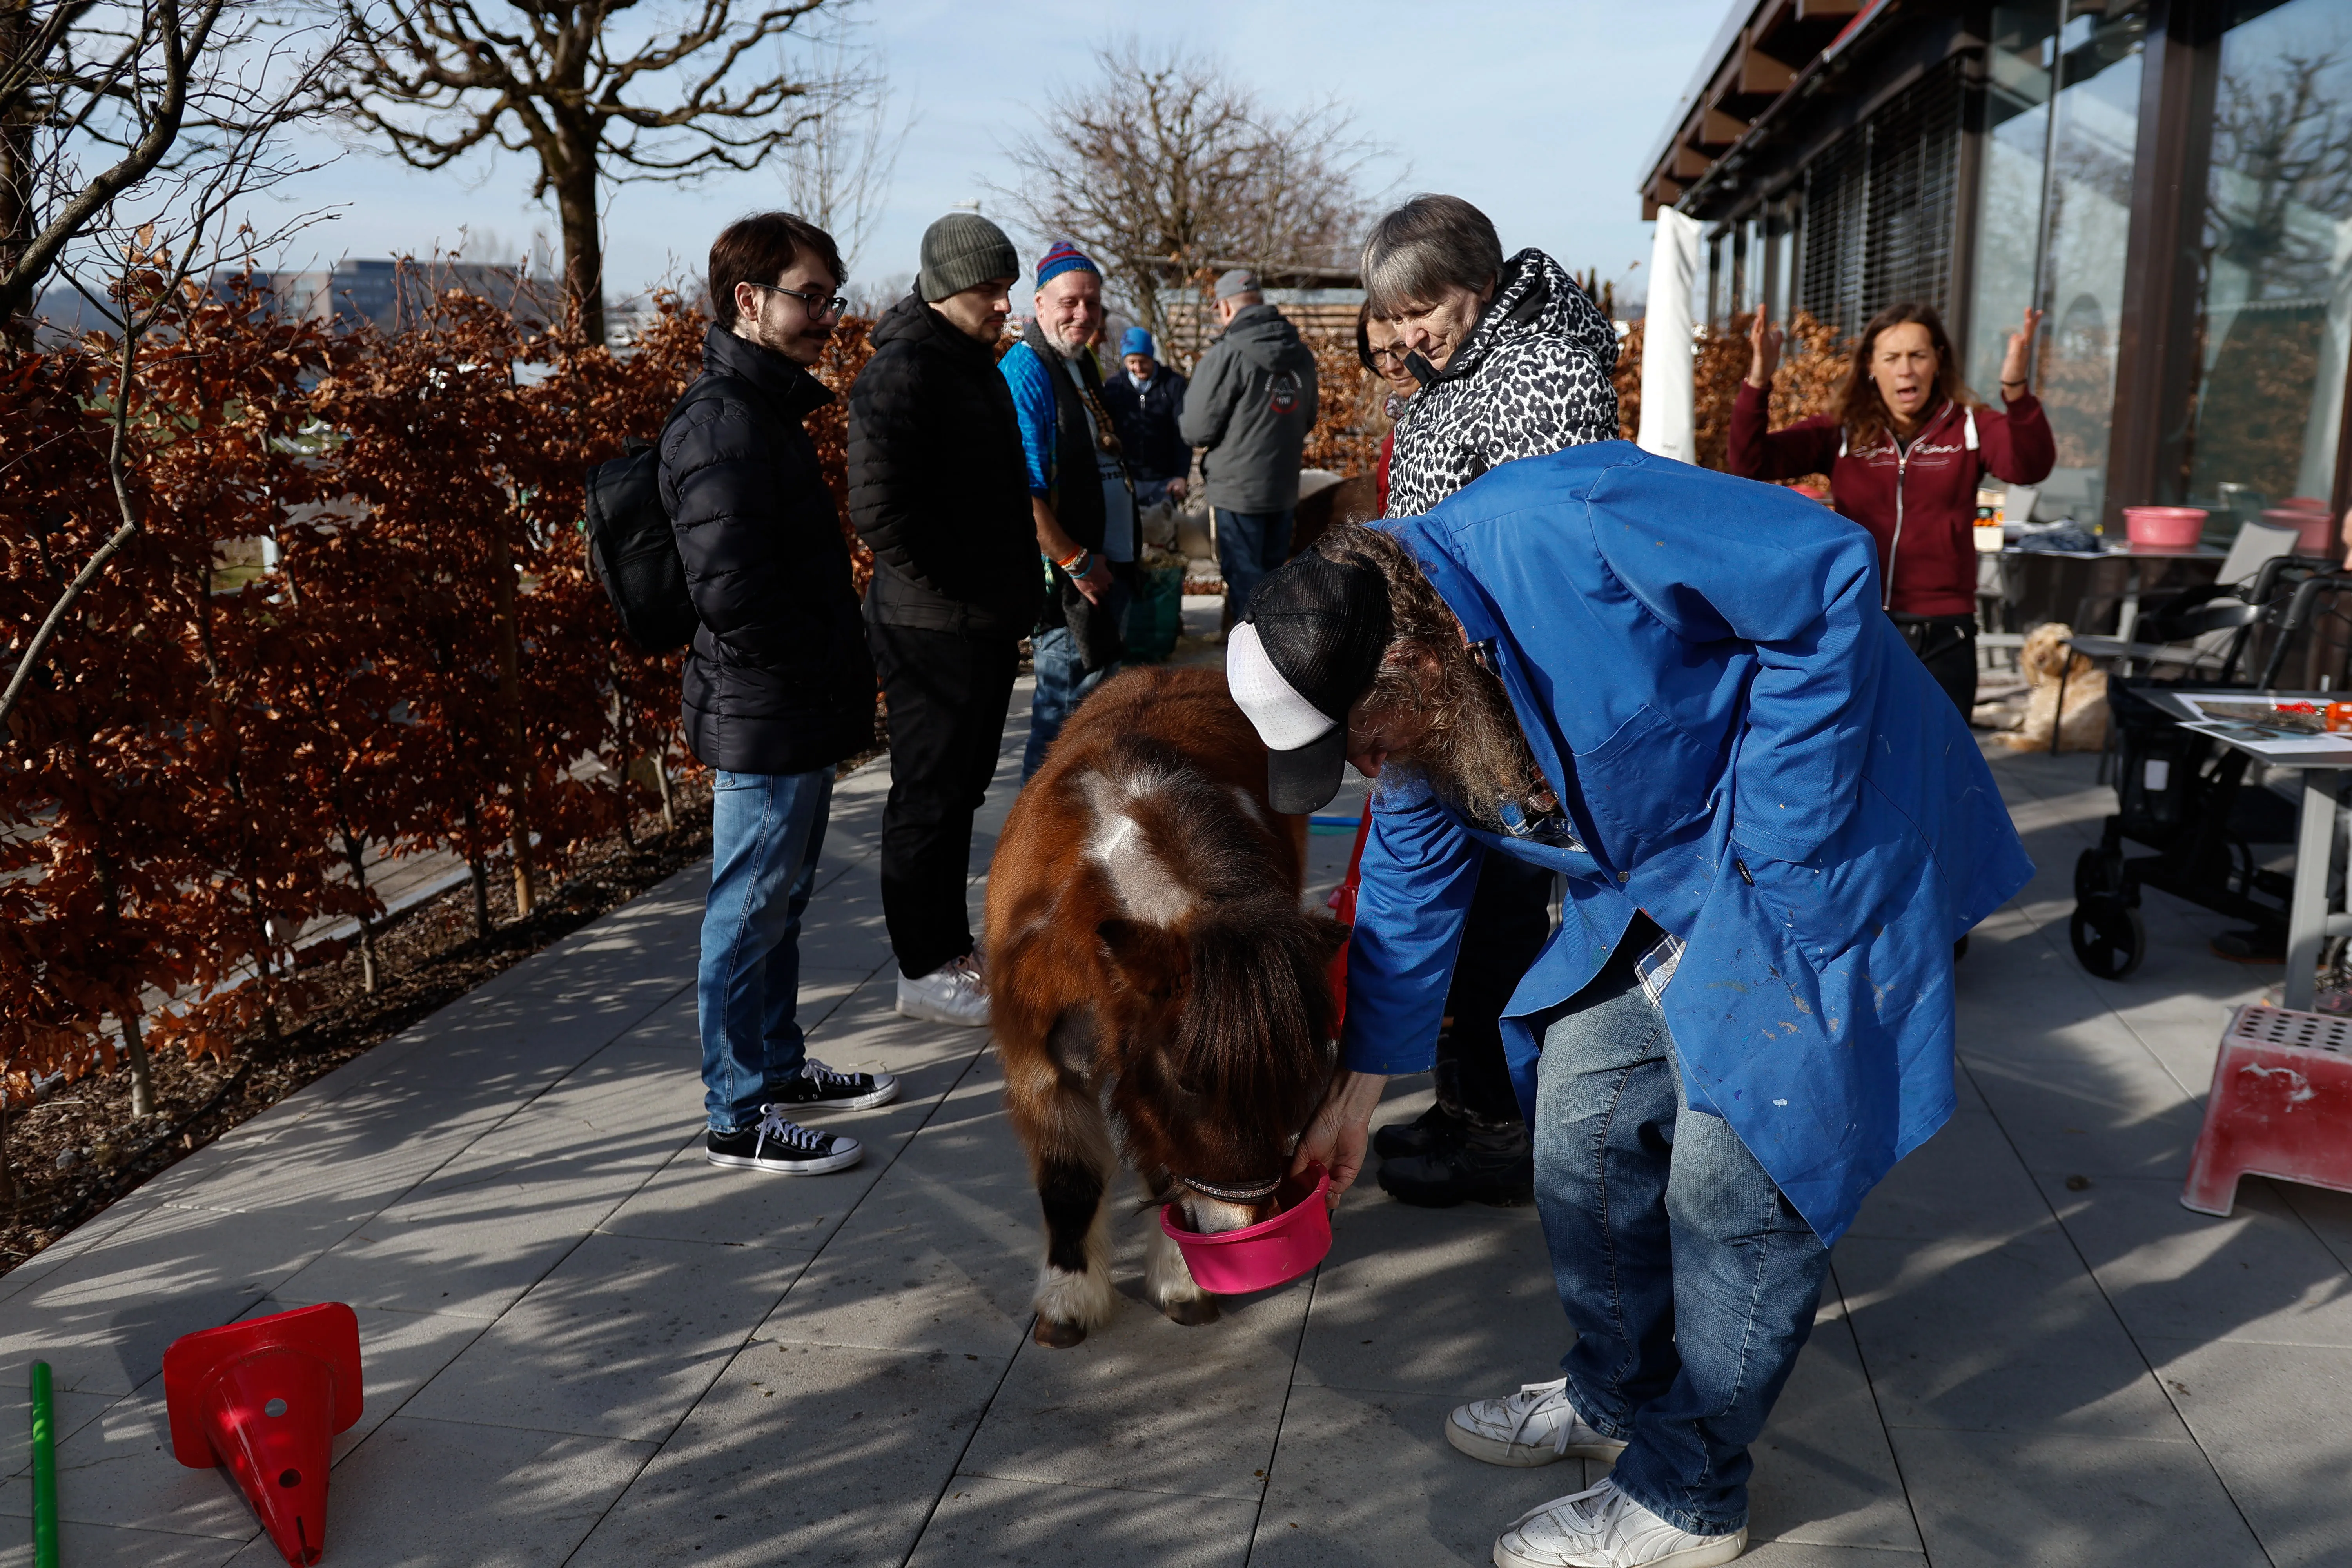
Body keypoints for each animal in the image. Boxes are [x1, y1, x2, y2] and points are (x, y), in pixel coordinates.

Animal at [978, 663, 1345, 1354]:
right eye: (1188, 1080)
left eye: (1296, 1084)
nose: (1239, 1223)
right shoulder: (1040, 1055)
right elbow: (1069, 1179)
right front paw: (1067, 1306)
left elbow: (1170, 1170)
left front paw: (1184, 1284)